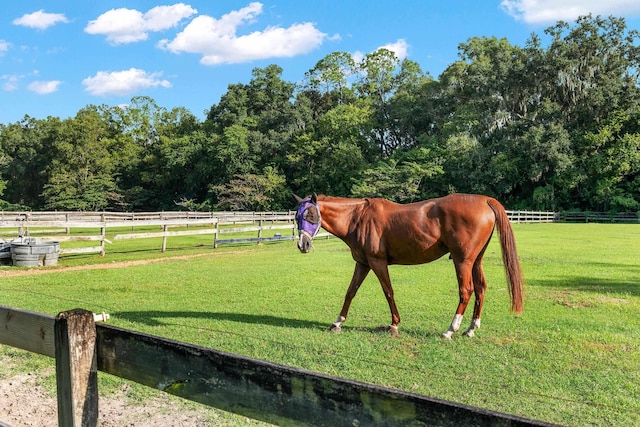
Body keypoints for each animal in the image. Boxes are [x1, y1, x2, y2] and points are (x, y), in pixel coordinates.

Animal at [296, 195, 524, 342]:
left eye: (311, 216)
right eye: (297, 217)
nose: (302, 245)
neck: (359, 217)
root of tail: (484, 200)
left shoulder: (377, 262)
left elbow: (388, 291)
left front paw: (394, 325)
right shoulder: (363, 263)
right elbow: (350, 292)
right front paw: (338, 323)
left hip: (463, 261)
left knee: (466, 291)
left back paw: (450, 330)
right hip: (476, 260)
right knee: (480, 288)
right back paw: (471, 328)